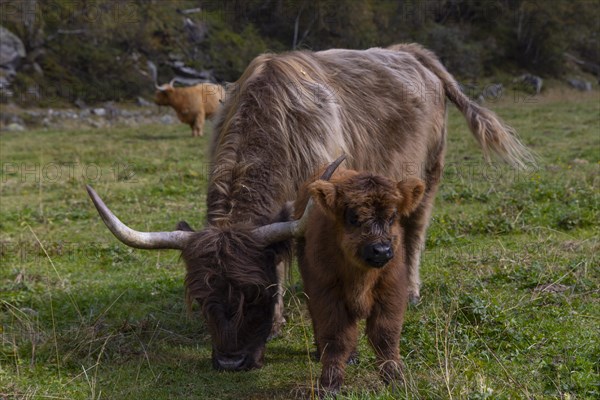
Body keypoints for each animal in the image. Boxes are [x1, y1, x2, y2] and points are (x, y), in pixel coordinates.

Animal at [86, 43, 532, 372]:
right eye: (199, 299)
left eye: (257, 293)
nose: (230, 363)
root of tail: (409, 51)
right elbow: (282, 261)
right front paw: (280, 322)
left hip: (429, 173)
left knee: (416, 229)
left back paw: (412, 288)